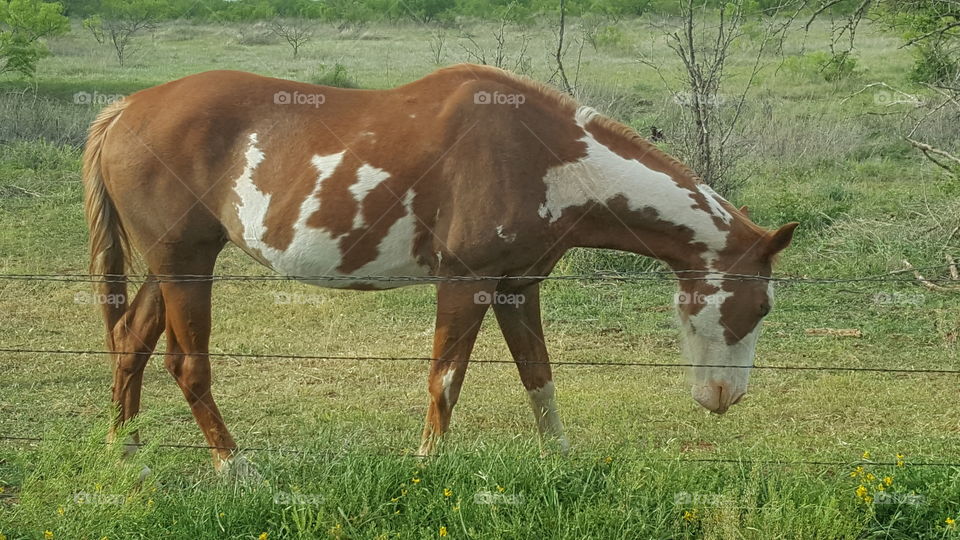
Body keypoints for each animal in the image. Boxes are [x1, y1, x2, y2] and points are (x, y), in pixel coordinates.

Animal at [82, 64, 797, 472]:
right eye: (760, 307)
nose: (723, 398)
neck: (546, 155)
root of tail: (127, 109)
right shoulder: (465, 282)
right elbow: (444, 382)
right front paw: (426, 470)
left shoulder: (517, 288)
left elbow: (539, 379)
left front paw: (561, 463)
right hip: (185, 266)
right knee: (187, 365)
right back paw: (234, 468)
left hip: (170, 266)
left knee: (130, 344)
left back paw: (126, 456)